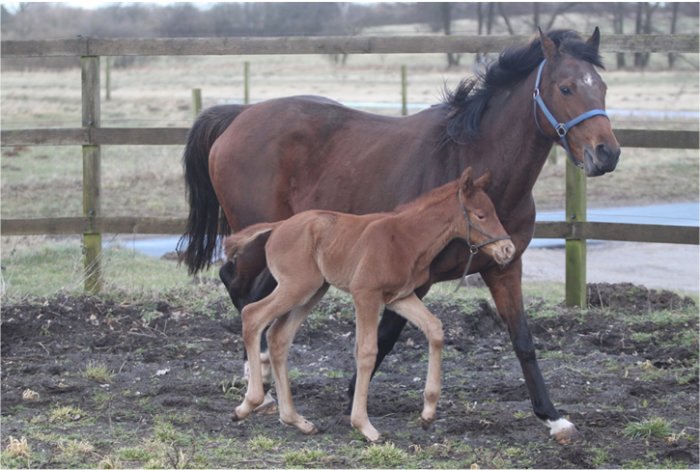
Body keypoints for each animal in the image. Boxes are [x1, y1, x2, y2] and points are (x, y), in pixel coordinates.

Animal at [224, 168, 516, 440]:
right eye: (480, 215)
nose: (508, 250)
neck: (406, 238)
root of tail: (278, 226)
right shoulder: (365, 294)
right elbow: (366, 351)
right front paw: (364, 426)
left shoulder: (399, 297)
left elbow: (434, 329)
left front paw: (428, 413)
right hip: (297, 285)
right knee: (253, 315)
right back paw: (248, 405)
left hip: (314, 290)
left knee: (278, 336)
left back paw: (296, 420)